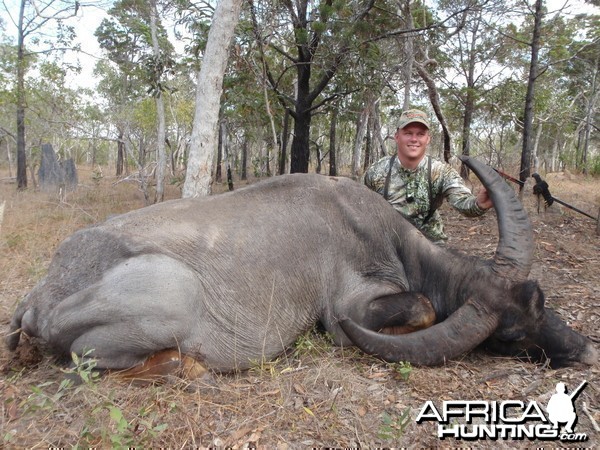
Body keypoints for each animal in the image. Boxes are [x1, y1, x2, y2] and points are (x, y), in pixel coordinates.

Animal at [3, 156, 596, 376]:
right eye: (512, 336)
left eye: (542, 301)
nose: (585, 350)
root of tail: (39, 301)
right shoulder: (348, 308)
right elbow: (424, 308)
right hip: (168, 302)